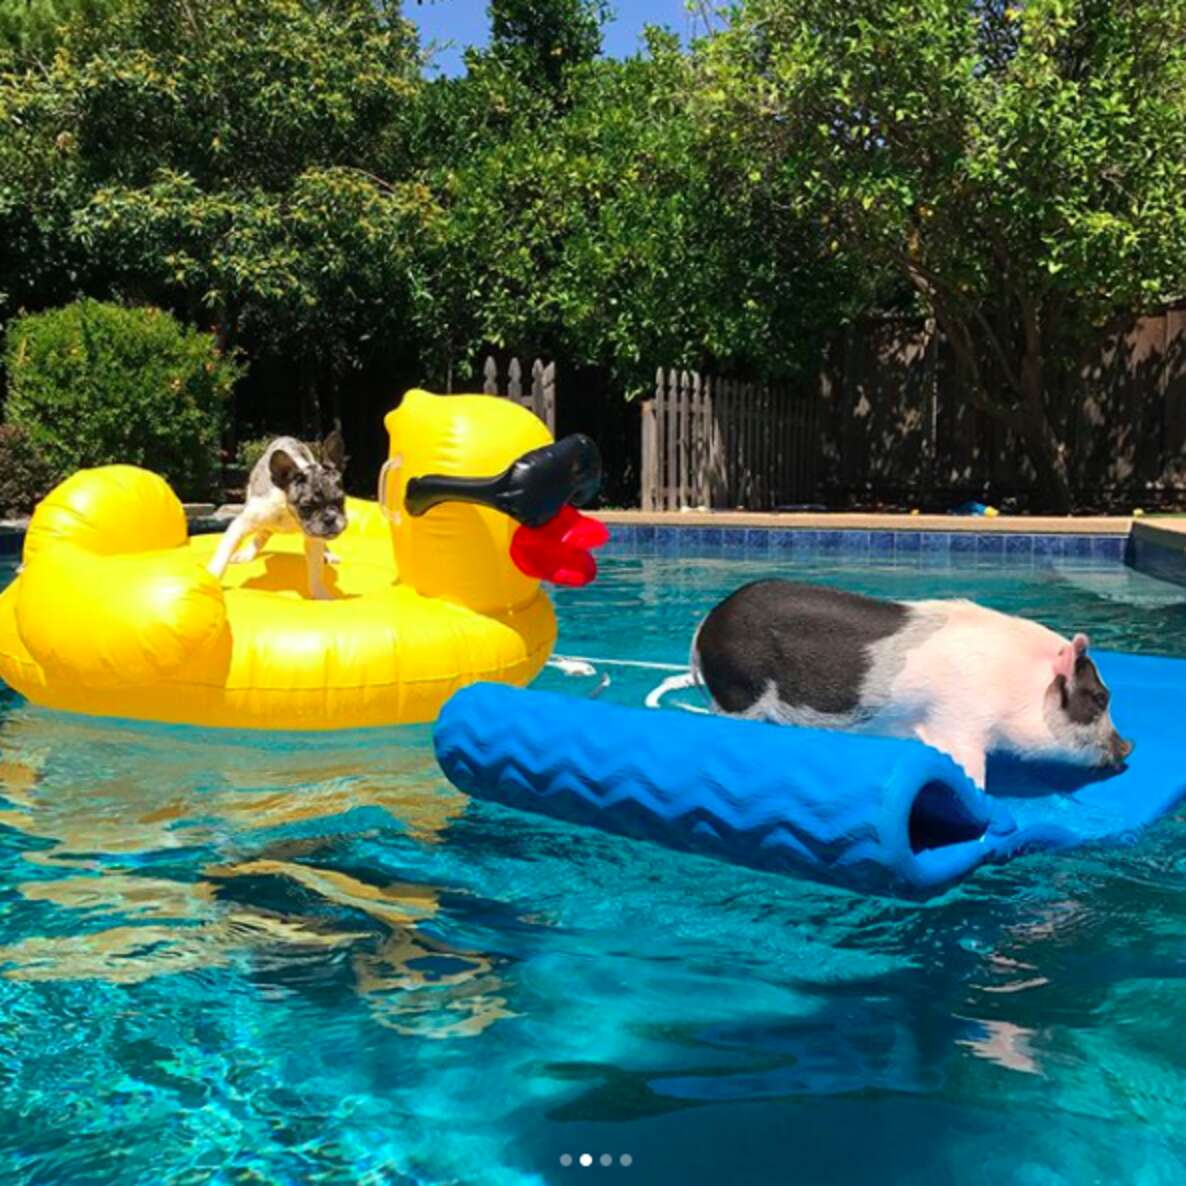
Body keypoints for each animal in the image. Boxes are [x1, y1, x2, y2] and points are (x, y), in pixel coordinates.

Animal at [208, 424, 346, 597]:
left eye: (341, 501)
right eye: (306, 508)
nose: (330, 518)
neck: (289, 512)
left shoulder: (314, 538)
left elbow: (316, 572)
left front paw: (321, 595)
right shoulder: (242, 524)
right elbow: (222, 556)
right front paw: (211, 579)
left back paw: (328, 554)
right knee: (261, 536)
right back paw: (247, 554)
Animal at [692, 578, 1133, 792]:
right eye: (1100, 697)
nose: (1129, 747)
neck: (1016, 684)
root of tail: (705, 627)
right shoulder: (959, 725)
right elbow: (972, 774)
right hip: (738, 691)